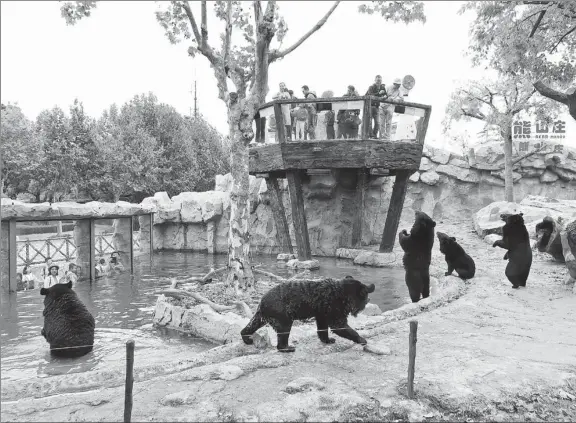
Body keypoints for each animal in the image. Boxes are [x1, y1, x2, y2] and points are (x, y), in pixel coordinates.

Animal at [238, 276, 374, 352]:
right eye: (365, 298)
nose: (368, 301)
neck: (342, 294)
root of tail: (262, 301)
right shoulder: (335, 313)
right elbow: (342, 328)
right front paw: (362, 339)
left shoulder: (322, 314)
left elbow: (323, 330)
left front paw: (327, 340)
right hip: (284, 318)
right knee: (282, 336)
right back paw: (287, 348)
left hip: (261, 317)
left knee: (249, 326)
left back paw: (247, 339)